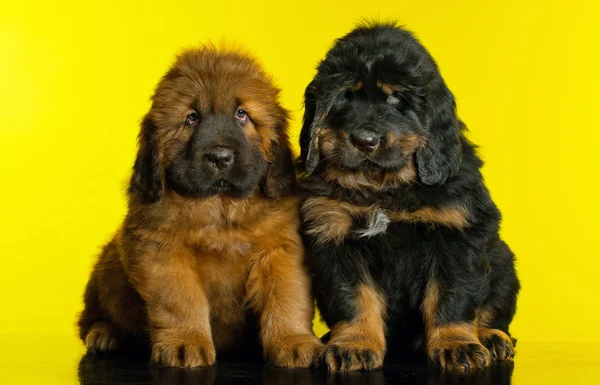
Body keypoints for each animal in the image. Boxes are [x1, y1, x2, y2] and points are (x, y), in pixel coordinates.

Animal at [79, 45, 326, 366]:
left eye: (242, 114)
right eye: (192, 117)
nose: (220, 157)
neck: (221, 209)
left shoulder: (281, 249)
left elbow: (287, 296)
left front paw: (294, 342)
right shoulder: (162, 251)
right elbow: (181, 300)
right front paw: (185, 343)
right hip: (107, 269)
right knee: (92, 316)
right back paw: (105, 333)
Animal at [298, 22, 520, 370]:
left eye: (397, 98)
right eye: (345, 95)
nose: (365, 140)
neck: (384, 189)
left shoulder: (456, 235)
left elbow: (451, 295)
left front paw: (457, 345)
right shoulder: (335, 236)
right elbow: (353, 297)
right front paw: (354, 345)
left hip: (503, 261)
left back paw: (491, 338)